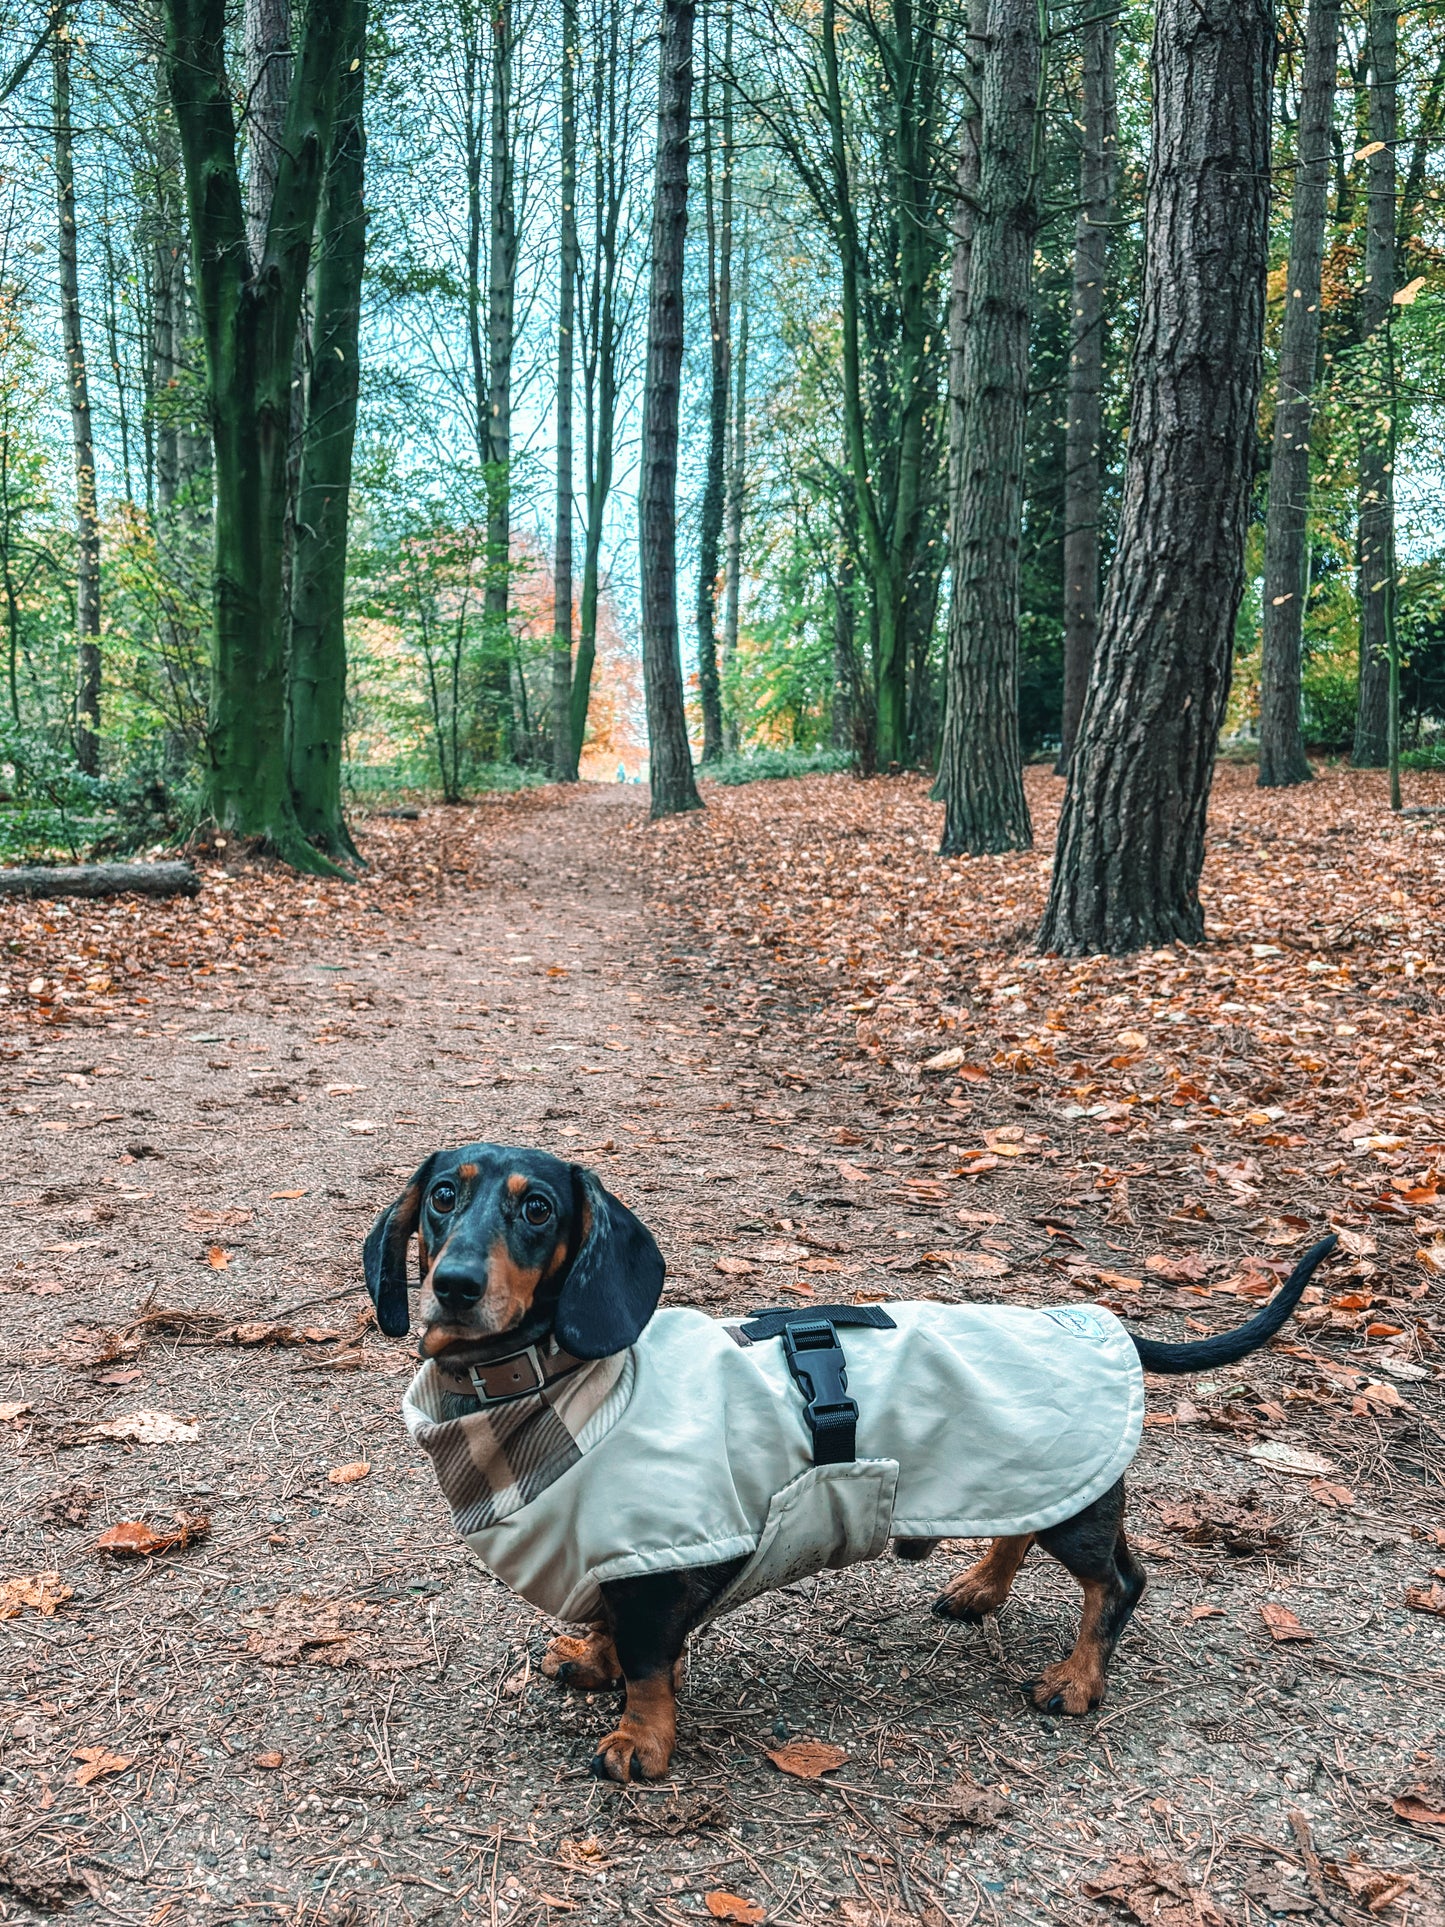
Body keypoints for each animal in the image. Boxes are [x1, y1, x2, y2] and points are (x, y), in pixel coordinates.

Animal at [367, 1133, 1340, 1780]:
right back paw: (979, 1588)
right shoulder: (621, 1548)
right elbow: (616, 1628)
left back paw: (1074, 1679)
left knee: (1118, 1582)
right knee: (1019, 1531)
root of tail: (1100, 1325)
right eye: (443, 1196)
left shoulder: (659, 1551)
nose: (453, 1284)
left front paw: (640, 1738)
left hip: (1074, 1502)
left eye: (537, 1208)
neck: (555, 1385)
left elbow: (648, 1658)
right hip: (1029, 1477)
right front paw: (591, 1662)